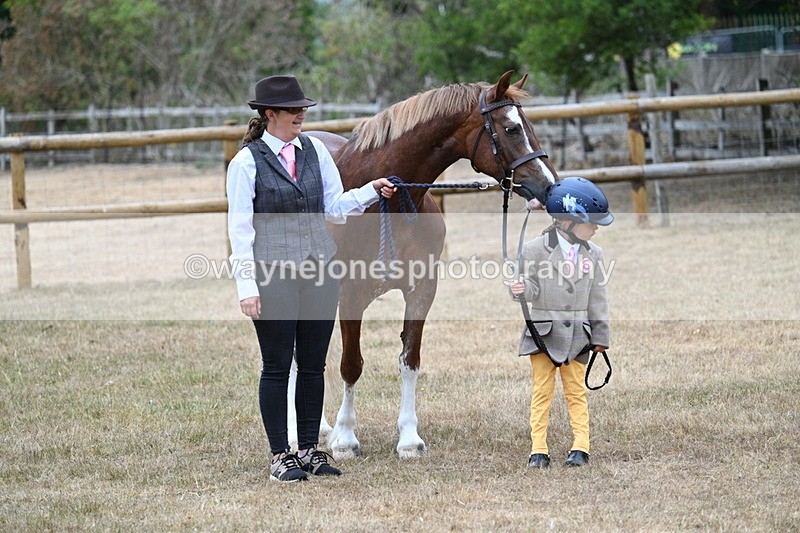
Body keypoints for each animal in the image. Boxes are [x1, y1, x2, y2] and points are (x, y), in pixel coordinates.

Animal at [309, 70, 559, 459]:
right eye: (511, 129)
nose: (548, 185)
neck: (388, 201)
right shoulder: (350, 294)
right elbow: (351, 365)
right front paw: (346, 438)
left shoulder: (422, 290)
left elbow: (410, 359)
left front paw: (409, 439)